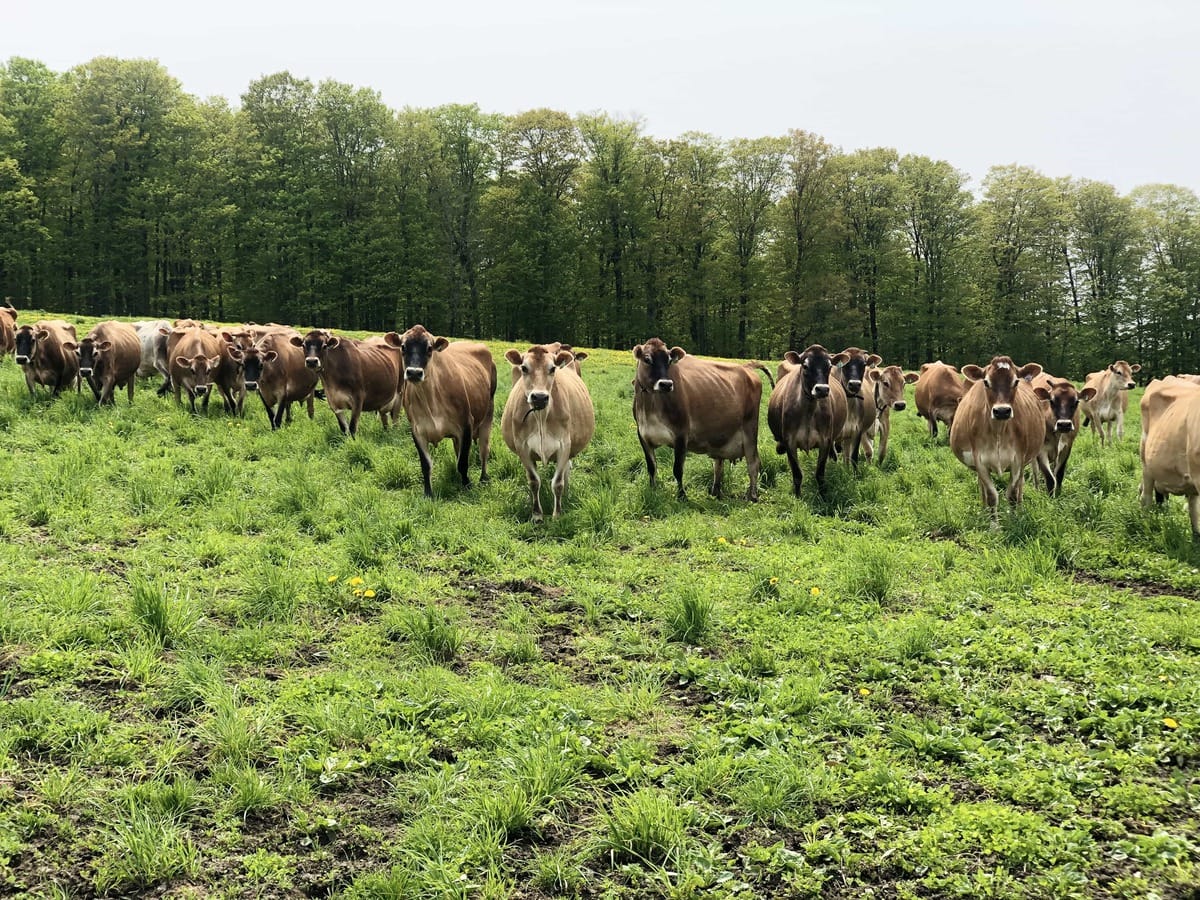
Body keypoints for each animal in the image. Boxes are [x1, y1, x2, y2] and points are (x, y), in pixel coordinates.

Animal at [384, 324, 496, 496]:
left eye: (429, 348)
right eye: (403, 347)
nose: (414, 372)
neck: (430, 401)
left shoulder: (466, 424)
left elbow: (463, 462)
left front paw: (467, 486)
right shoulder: (417, 430)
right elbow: (426, 465)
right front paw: (428, 493)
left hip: (488, 414)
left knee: (484, 450)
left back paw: (483, 478)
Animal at [633, 340, 763, 504]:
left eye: (669, 361)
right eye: (647, 359)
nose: (666, 384)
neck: (651, 406)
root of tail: (746, 367)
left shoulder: (681, 434)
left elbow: (677, 469)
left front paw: (682, 496)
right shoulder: (643, 435)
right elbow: (651, 467)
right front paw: (653, 490)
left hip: (750, 428)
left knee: (753, 463)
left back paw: (752, 495)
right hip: (721, 436)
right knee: (718, 464)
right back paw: (715, 492)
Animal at [763, 348, 849, 501]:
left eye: (829, 366)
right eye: (805, 366)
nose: (822, 389)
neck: (809, 409)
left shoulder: (825, 440)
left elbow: (820, 473)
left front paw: (823, 496)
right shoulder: (789, 441)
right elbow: (797, 473)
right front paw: (797, 496)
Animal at [950, 357, 1056, 518]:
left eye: (1016, 382)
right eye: (986, 382)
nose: (1002, 411)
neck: (998, 432)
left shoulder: (1017, 460)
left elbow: (1012, 494)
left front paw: (1014, 519)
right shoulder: (980, 462)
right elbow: (991, 496)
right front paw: (993, 522)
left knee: (1020, 484)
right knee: (982, 487)